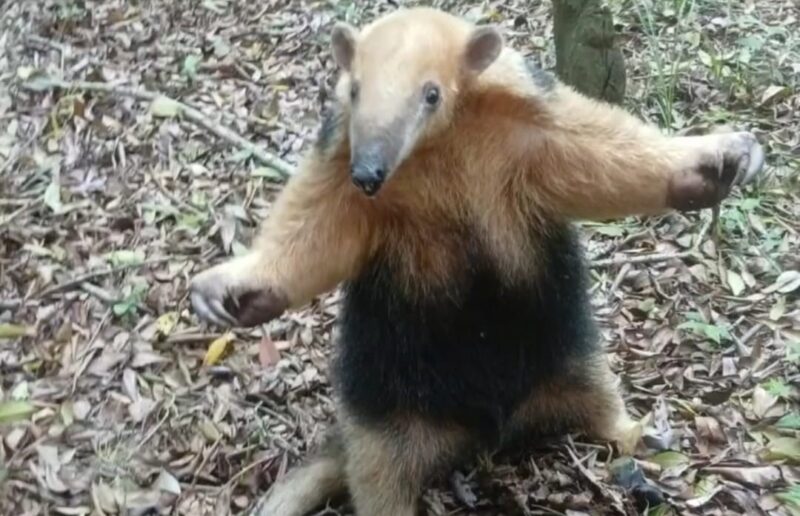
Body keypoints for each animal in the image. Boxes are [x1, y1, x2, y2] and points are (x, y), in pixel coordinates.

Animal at [189, 7, 764, 515]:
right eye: (353, 91)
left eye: (431, 93)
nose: (368, 174)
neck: (438, 146)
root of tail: (485, 430)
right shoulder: (338, 154)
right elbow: (317, 226)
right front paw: (228, 292)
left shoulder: (531, 123)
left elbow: (599, 153)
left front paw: (721, 159)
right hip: (382, 403)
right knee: (379, 473)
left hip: (567, 355)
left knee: (600, 397)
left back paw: (637, 434)